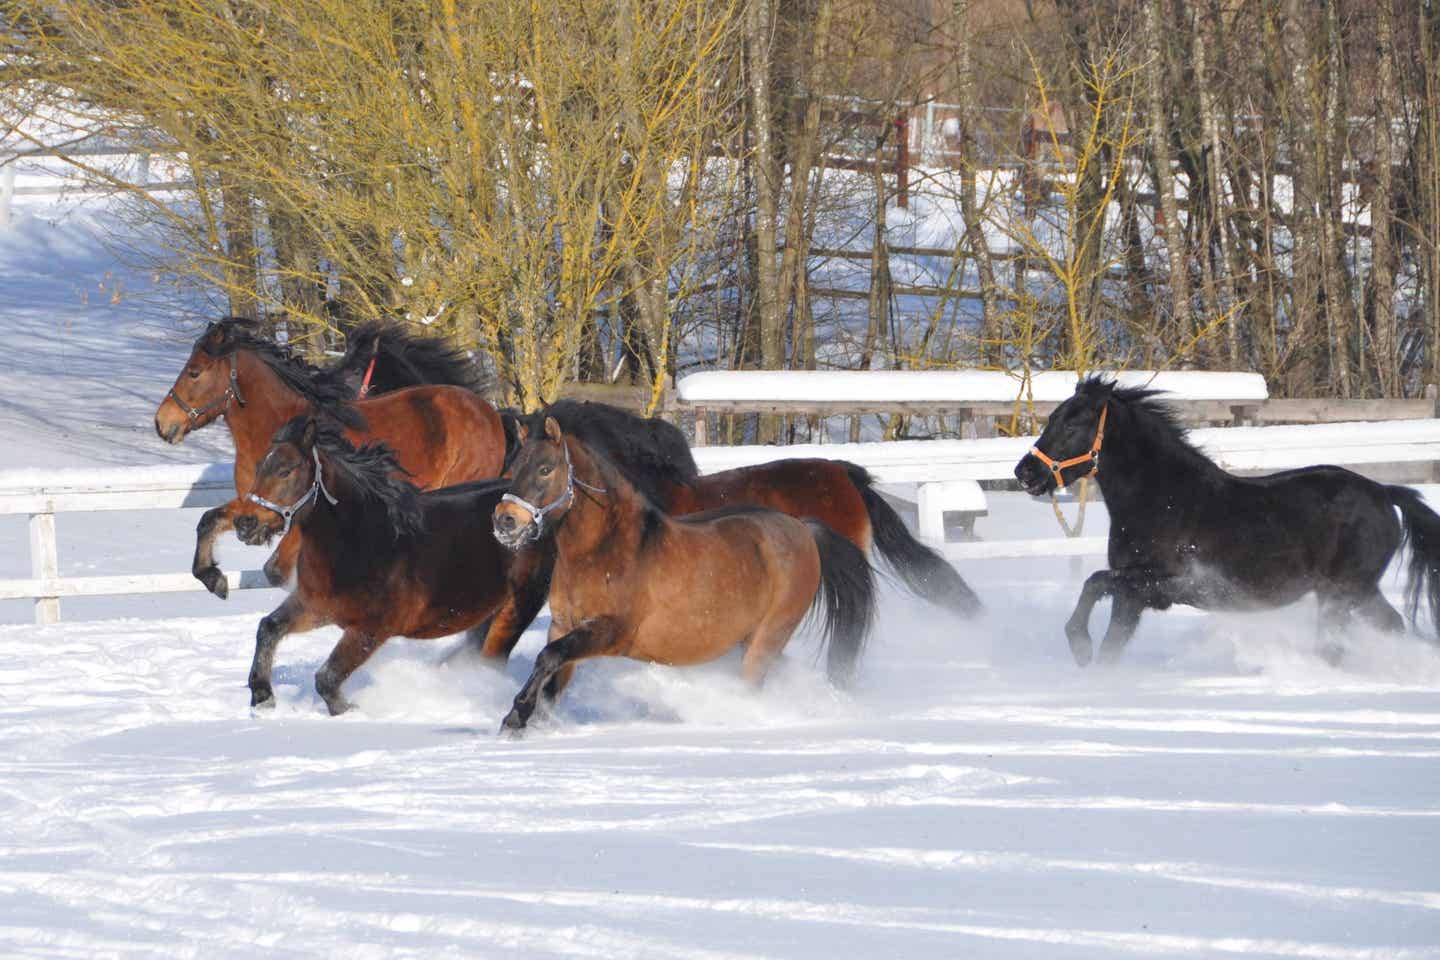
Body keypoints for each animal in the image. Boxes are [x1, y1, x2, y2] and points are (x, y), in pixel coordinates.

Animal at [154, 320, 506, 592]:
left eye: (194, 372)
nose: (162, 423)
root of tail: (488, 412)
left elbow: (279, 570)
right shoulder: (256, 505)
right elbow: (208, 521)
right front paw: (214, 578)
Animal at [227, 417, 515, 716]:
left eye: (285, 471)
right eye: (260, 468)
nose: (245, 523)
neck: (361, 543)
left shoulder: (371, 630)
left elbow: (327, 679)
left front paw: (350, 709)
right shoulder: (315, 607)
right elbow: (268, 628)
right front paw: (262, 697)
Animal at [492, 417, 875, 742]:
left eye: (545, 469)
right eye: (512, 469)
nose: (504, 521)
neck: (604, 551)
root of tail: (804, 530)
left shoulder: (611, 631)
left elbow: (548, 657)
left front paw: (514, 717)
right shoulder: (563, 625)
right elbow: (553, 678)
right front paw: (531, 722)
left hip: (768, 637)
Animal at [1008, 377, 1440, 667]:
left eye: (1072, 425)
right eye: (1052, 418)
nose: (1025, 472)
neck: (1162, 499)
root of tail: (1384, 492)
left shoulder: (1166, 583)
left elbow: (1094, 581)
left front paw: (1078, 644)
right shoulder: (1132, 597)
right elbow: (1111, 643)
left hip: (1344, 591)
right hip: (1355, 593)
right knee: (1390, 625)